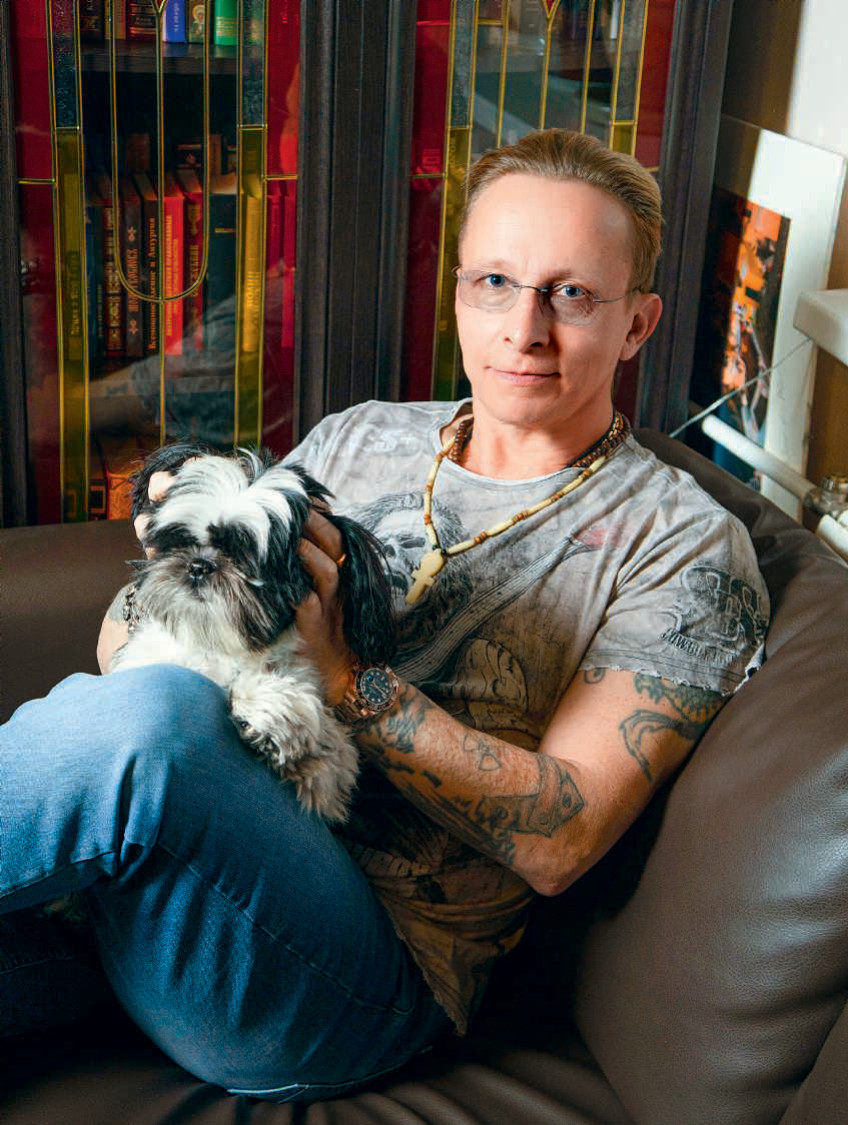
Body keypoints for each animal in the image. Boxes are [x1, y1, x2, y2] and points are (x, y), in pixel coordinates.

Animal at [109, 442, 396, 822]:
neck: (218, 646)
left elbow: (328, 755)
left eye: (245, 558)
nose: (199, 565)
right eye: (180, 540)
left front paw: (270, 713)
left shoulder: (335, 776)